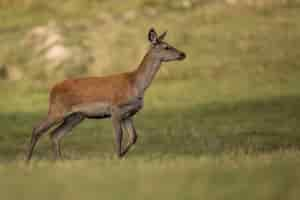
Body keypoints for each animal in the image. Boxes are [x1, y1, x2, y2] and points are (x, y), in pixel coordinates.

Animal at [26, 27, 185, 161]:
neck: (135, 85)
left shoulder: (128, 113)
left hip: (76, 116)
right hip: (58, 110)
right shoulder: (115, 109)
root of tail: (53, 89)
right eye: (166, 47)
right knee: (37, 128)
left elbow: (133, 136)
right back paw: (27, 160)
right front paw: (116, 157)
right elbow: (119, 135)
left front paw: (121, 156)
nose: (183, 54)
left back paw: (59, 161)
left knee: (55, 134)